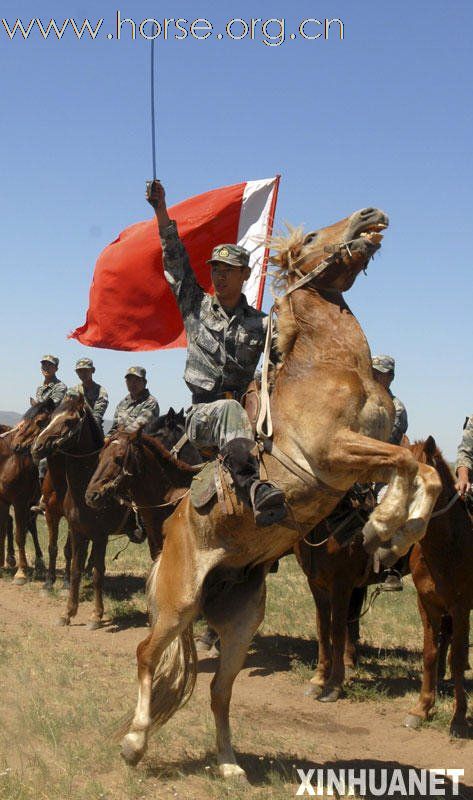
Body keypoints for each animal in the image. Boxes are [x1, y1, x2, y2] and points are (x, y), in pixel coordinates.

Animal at [119, 206, 438, 780]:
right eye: (311, 237)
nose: (369, 215)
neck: (330, 364)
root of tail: (173, 527)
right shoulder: (334, 450)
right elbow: (407, 463)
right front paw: (385, 524)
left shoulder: (375, 447)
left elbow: (423, 470)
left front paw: (395, 528)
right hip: (178, 603)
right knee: (147, 654)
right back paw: (134, 744)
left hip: (241, 619)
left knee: (219, 692)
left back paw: (229, 765)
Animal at [296, 438, 470, 736]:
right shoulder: (317, 585)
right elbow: (323, 629)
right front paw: (319, 679)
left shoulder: (342, 585)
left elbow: (337, 630)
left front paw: (334, 685)